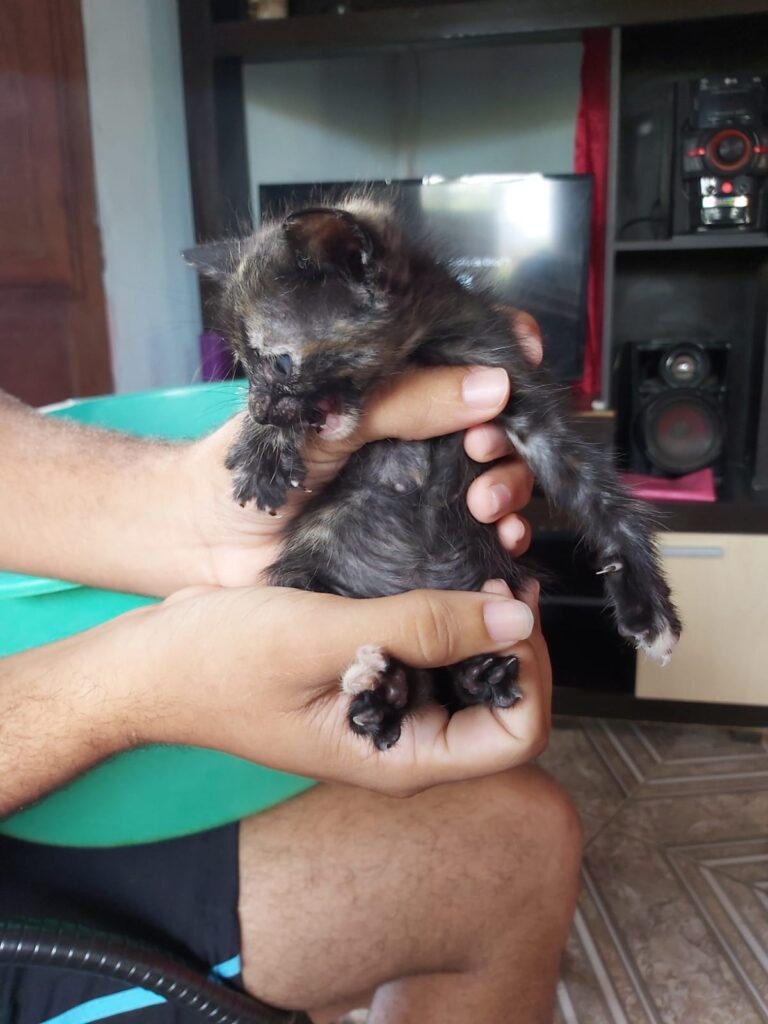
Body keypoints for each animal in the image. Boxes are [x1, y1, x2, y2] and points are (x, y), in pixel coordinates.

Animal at [189, 195, 684, 749]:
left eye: (278, 364)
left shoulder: (511, 385)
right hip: (306, 574)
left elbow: (599, 493)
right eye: (243, 366)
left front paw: (648, 603)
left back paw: (462, 679)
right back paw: (381, 691)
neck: (414, 352)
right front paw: (263, 448)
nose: (260, 409)